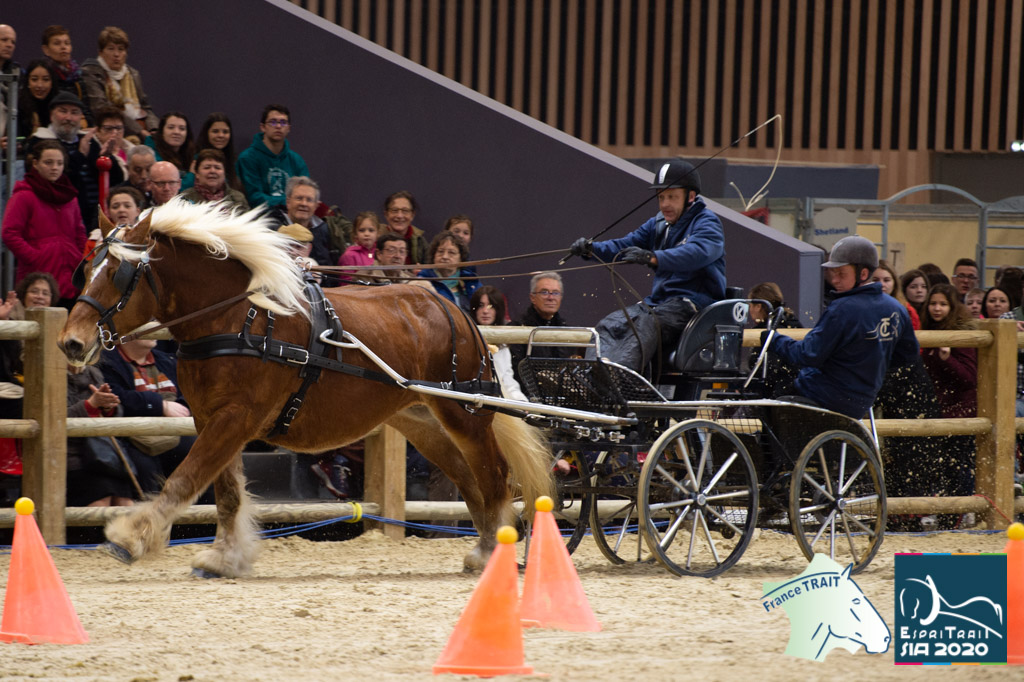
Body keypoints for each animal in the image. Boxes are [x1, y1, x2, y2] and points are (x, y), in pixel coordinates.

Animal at [58, 199, 552, 577]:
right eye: (86, 268)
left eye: (118, 274)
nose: (71, 342)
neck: (238, 319)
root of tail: (455, 309)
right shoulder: (211, 418)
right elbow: (226, 492)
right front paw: (225, 558)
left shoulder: (236, 418)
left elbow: (186, 478)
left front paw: (131, 538)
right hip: (422, 420)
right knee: (469, 478)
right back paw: (484, 546)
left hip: (465, 414)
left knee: (494, 477)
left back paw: (491, 552)